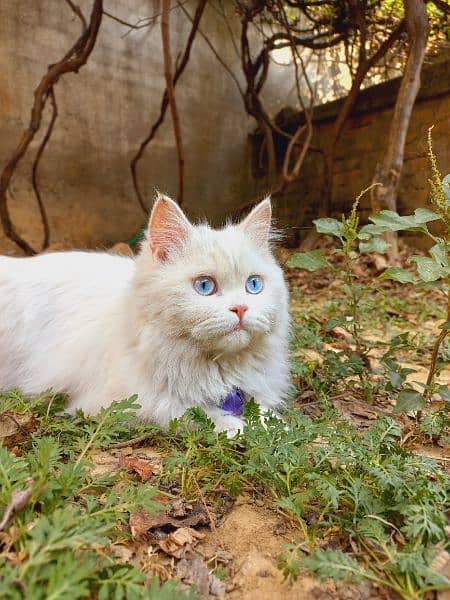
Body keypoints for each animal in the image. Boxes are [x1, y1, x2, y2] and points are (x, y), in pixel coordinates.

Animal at [0, 195, 290, 434]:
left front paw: (274, 425)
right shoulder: (119, 403)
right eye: (205, 286)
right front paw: (236, 426)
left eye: (254, 285)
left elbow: (261, 410)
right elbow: (190, 411)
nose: (241, 309)